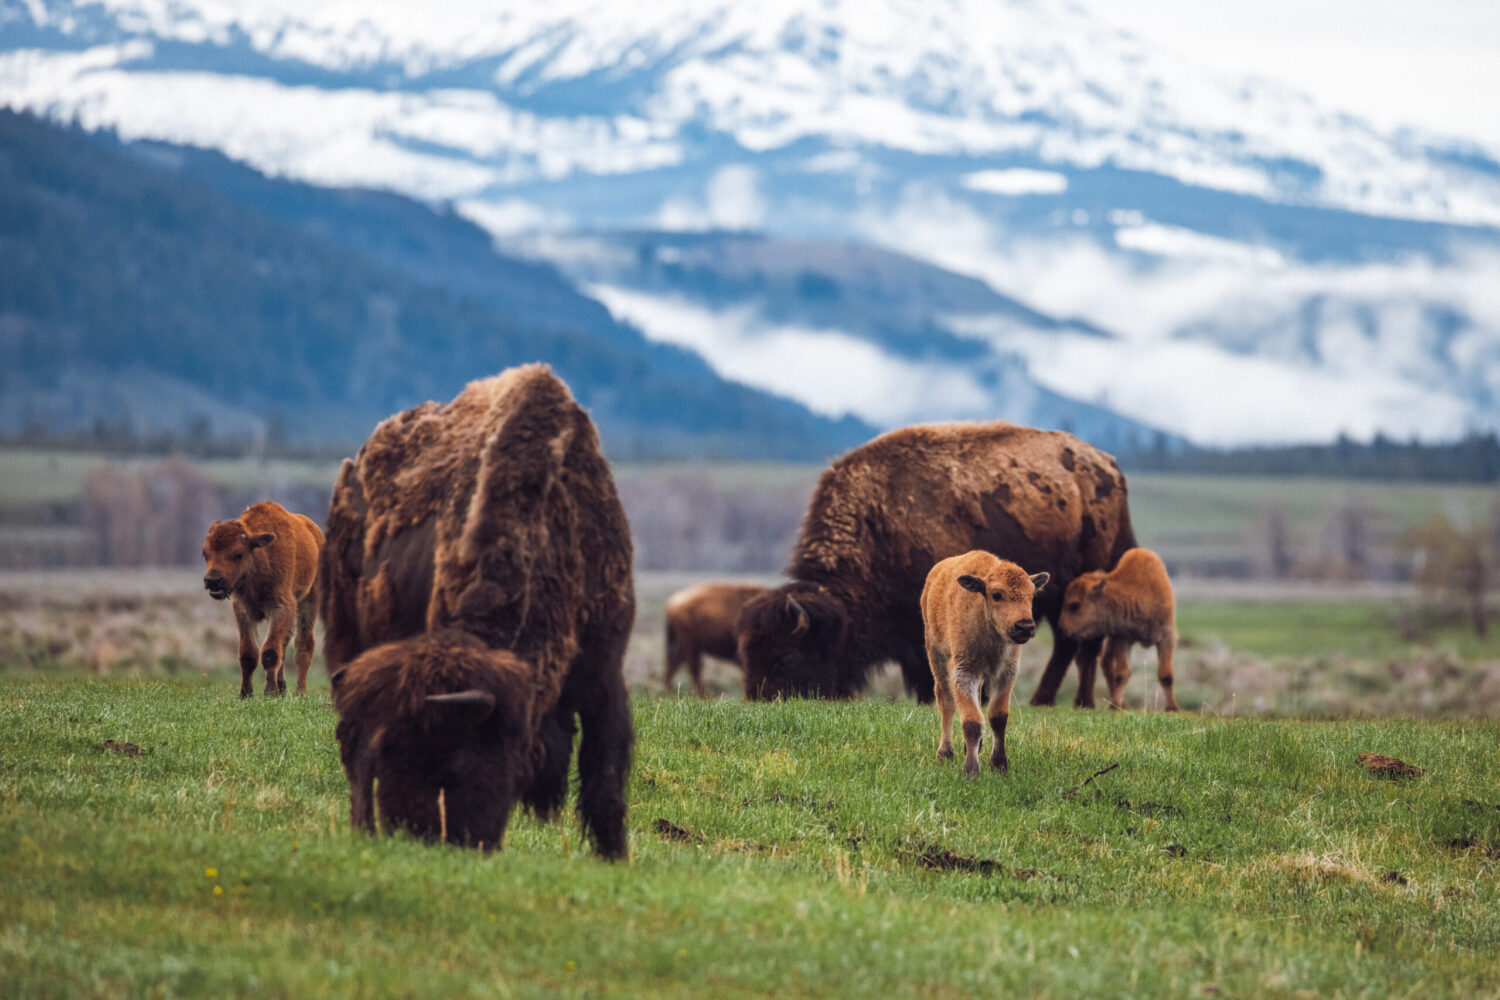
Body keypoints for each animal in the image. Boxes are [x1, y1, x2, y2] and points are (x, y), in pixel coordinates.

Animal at [201, 500, 324, 698]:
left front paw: (270, 691)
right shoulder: (243, 611)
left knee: (303, 645)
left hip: (310, 600)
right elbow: (248, 654)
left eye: (238, 554)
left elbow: (270, 651)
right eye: (205, 554)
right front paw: (245, 693)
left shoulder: (281, 608)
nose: (213, 580)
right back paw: (282, 688)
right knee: (286, 644)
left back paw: (300, 692)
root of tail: (315, 532)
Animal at [321, 364, 635, 859]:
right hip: (346, 636)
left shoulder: (605, 673)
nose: (421, 838)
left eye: (452, 764)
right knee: (350, 745)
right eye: (394, 752)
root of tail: (353, 469)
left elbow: (604, 782)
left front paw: (615, 858)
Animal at [735, 421, 1135, 704]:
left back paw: (1065, 702)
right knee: (1073, 645)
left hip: (1075, 587)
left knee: (1079, 642)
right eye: (747, 654)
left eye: (786, 657)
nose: (760, 700)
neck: (879, 525)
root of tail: (1109, 468)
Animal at [922, 551, 1048, 777]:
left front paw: (999, 765)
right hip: (937, 656)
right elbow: (972, 720)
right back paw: (945, 753)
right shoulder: (964, 672)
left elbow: (998, 717)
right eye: (996, 595)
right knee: (945, 702)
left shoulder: (1006, 673)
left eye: (1032, 595)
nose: (1025, 626)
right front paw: (971, 771)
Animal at [1058, 547, 1180, 712]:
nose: (1062, 629)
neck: (1140, 591)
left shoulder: (1166, 637)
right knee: (1106, 663)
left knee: (1106, 662)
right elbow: (1122, 674)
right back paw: (1118, 703)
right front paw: (1114, 706)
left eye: (1075, 605)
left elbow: (1165, 675)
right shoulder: (1123, 638)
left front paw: (1172, 708)